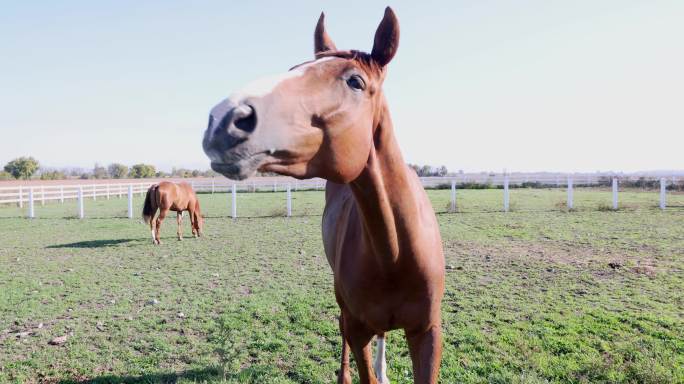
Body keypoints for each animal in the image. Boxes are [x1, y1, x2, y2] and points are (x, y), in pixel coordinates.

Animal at [203, 7, 446, 382]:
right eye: (293, 69)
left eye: (355, 82)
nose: (224, 120)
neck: (394, 254)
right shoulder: (358, 329)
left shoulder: (427, 333)